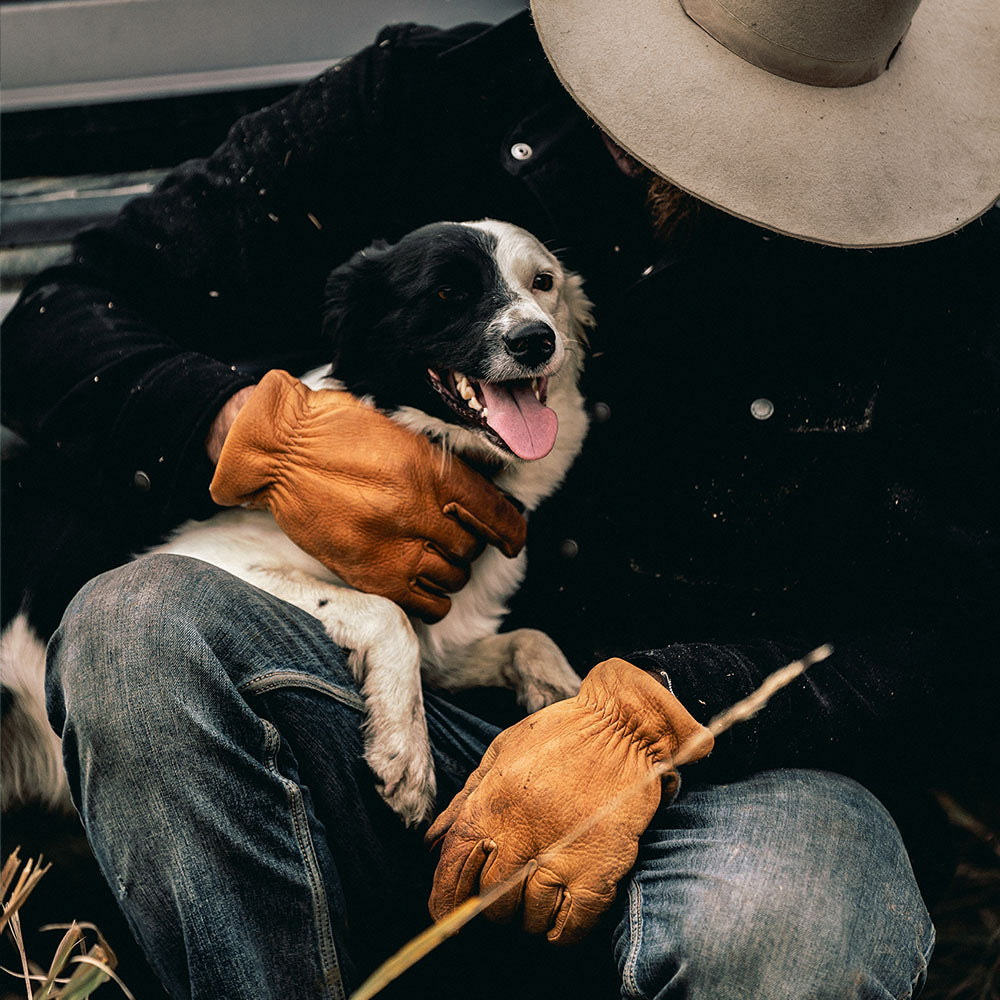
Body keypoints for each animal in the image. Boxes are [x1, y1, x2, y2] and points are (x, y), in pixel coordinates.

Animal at [0, 221, 588, 828]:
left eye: (543, 282)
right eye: (449, 292)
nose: (536, 341)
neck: (446, 462)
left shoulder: (443, 647)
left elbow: (530, 639)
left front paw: (575, 709)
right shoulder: (210, 553)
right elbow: (388, 613)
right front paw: (405, 751)